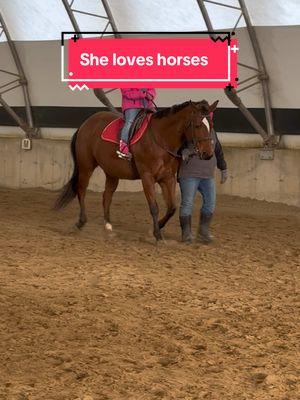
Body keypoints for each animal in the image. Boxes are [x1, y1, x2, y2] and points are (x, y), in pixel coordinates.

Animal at [54, 99, 218, 241]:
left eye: (211, 124)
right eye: (197, 125)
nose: (208, 154)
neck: (160, 139)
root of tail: (85, 124)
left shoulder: (168, 178)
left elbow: (171, 207)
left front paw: (157, 228)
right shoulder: (147, 177)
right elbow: (154, 207)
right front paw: (157, 235)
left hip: (112, 172)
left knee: (106, 196)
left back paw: (108, 225)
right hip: (86, 166)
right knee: (81, 190)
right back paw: (81, 221)